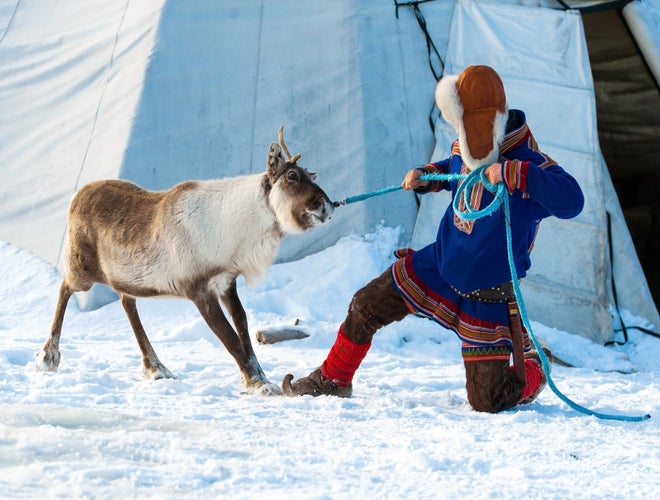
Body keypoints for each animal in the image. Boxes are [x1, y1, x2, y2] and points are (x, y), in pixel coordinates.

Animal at [36, 126, 334, 395]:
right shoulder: (198, 289)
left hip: (125, 275)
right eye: (292, 175)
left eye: (311, 175)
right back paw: (48, 357)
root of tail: (77, 195)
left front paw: (257, 378)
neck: (238, 231)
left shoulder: (226, 283)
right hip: (82, 269)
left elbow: (243, 327)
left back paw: (156, 367)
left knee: (127, 301)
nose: (326, 206)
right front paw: (258, 384)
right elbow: (229, 337)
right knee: (65, 288)